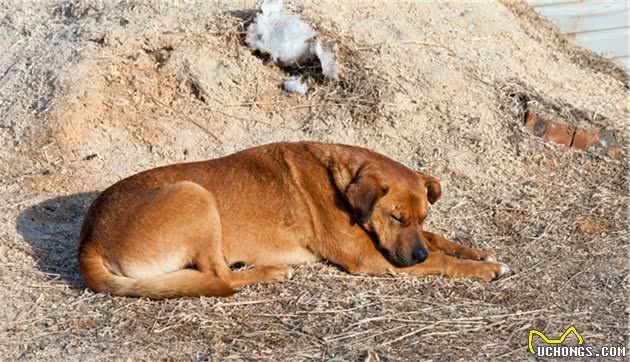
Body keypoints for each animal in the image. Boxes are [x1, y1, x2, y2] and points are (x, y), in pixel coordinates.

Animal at [79, 141, 512, 296]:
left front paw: (476, 251)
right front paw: (480, 269)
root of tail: (88, 239)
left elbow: (439, 240)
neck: (340, 180)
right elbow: (440, 259)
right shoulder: (372, 259)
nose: (415, 255)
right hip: (193, 194)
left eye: (420, 217)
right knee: (220, 276)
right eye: (395, 216)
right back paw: (269, 271)